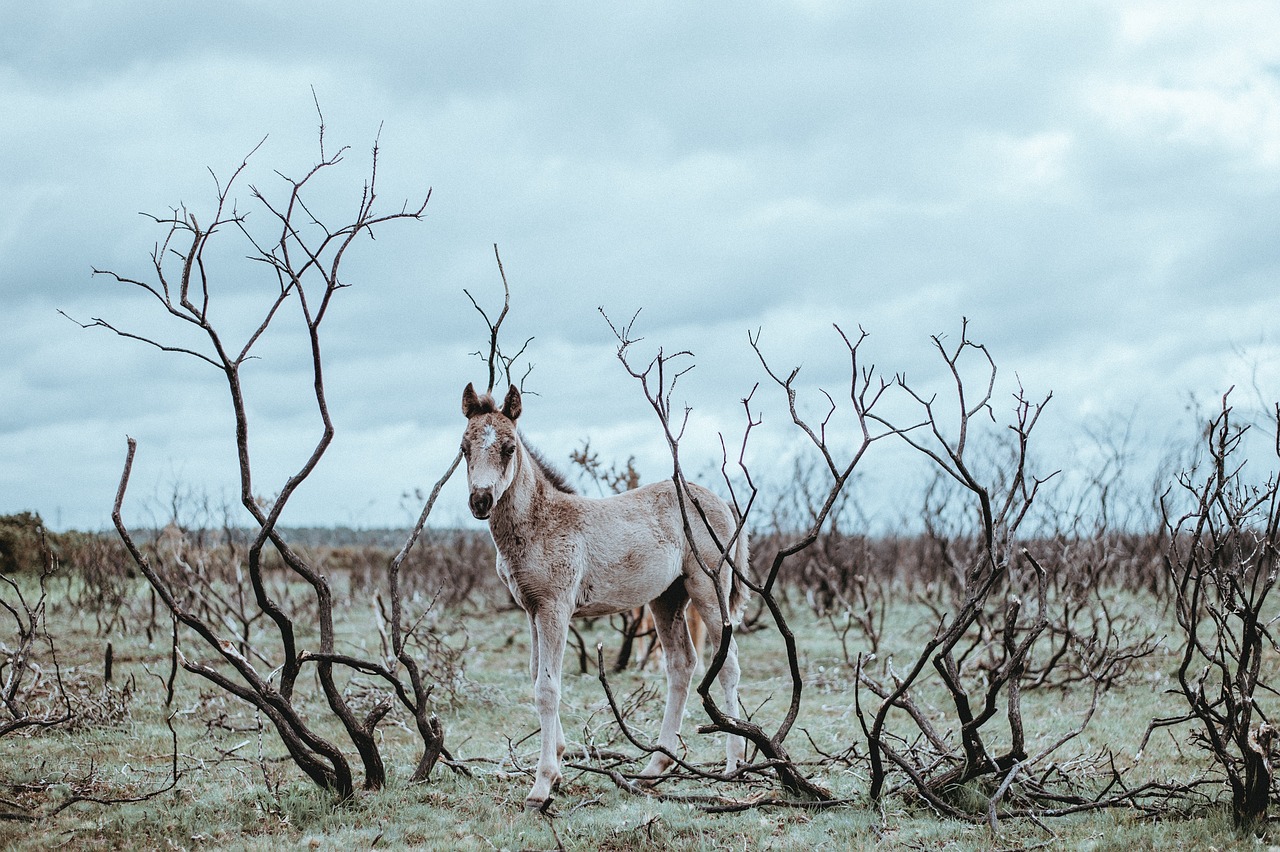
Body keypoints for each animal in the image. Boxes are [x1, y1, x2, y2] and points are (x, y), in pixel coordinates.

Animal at [460, 381, 747, 808]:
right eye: (464, 447)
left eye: (509, 448)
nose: (480, 501)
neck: (539, 522)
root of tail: (719, 501)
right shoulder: (530, 608)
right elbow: (536, 674)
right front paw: (559, 759)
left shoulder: (555, 608)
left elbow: (547, 688)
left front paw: (542, 785)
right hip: (667, 598)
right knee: (681, 664)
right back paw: (655, 767)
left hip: (709, 588)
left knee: (726, 663)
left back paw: (733, 764)